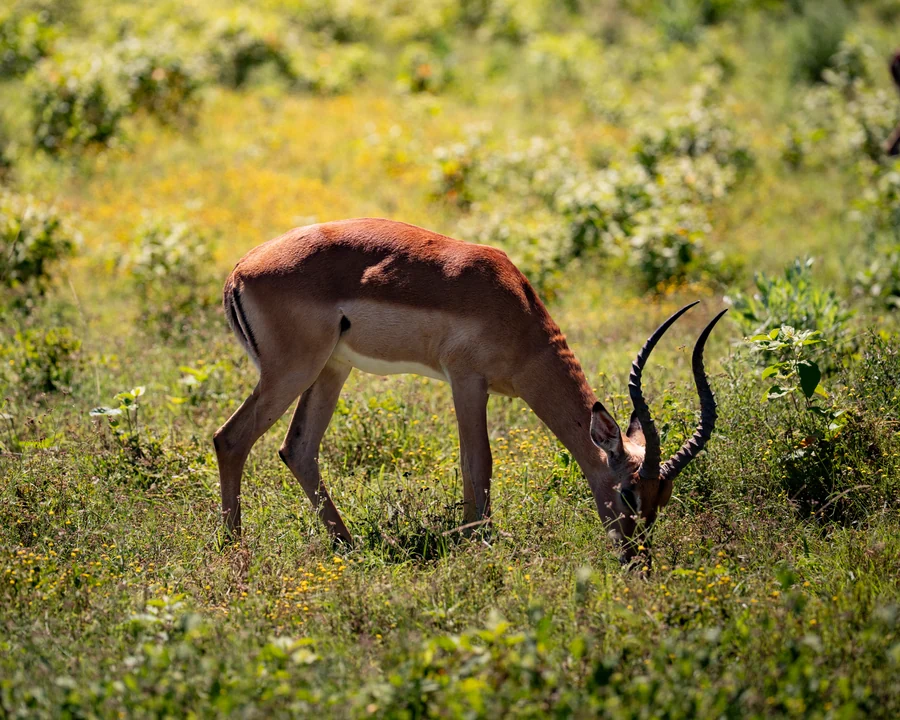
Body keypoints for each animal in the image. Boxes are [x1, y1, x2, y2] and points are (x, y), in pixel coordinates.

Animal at [213, 218, 726, 563]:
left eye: (663, 497)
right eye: (629, 493)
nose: (637, 557)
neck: (513, 308)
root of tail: (239, 271)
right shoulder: (466, 381)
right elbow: (478, 461)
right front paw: (480, 540)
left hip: (332, 369)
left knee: (297, 448)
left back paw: (349, 544)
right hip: (293, 371)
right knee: (230, 438)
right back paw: (236, 546)